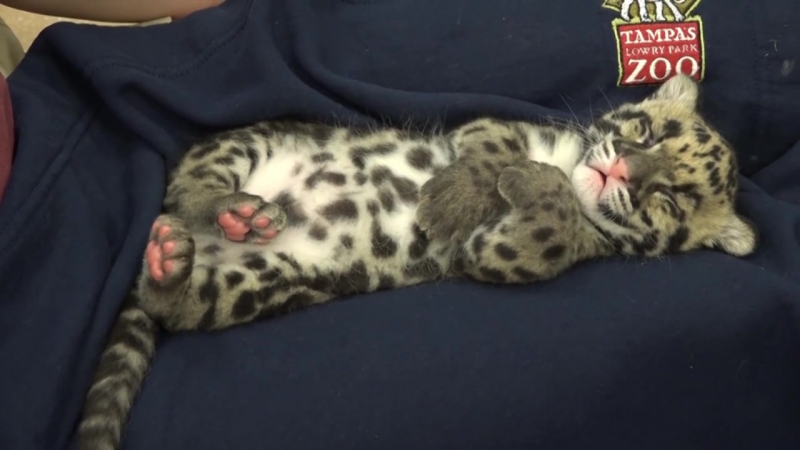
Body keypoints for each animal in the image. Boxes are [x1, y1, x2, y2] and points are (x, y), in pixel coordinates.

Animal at [77, 74, 757, 450]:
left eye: (669, 198)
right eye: (645, 133)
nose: (621, 172)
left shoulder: (501, 252)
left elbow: (549, 230)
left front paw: (542, 187)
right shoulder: (491, 125)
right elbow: (490, 152)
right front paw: (468, 189)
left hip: (254, 285)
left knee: (177, 303)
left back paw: (171, 262)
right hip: (244, 141)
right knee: (186, 186)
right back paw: (230, 209)